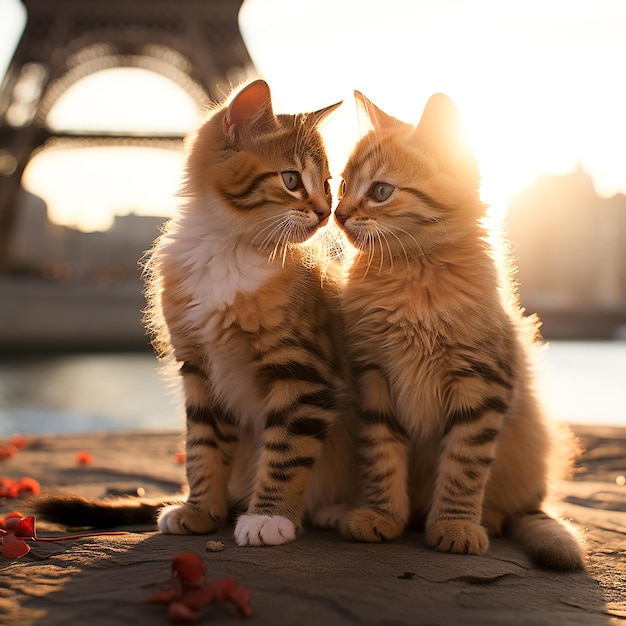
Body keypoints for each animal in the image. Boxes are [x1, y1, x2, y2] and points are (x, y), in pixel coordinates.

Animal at [34, 78, 356, 544]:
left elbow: (286, 450)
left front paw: (269, 517)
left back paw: (338, 509)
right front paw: (201, 509)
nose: (324, 212)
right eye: (292, 179)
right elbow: (203, 446)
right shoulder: (199, 367)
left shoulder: (303, 371)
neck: (228, 246)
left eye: (329, 185)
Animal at [334, 90, 584, 568]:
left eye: (380, 192)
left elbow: (464, 465)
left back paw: (492, 516)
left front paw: (455, 524)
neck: (413, 277)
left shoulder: (481, 384)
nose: (337, 214)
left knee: (521, 503)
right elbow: (382, 454)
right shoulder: (373, 376)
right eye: (340, 187)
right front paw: (382, 514)